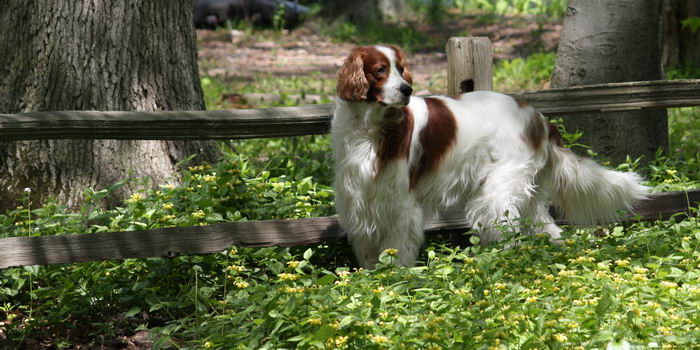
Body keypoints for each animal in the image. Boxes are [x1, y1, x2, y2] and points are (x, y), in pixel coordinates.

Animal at [330, 45, 648, 266]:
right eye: (380, 70)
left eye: (401, 68)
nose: (407, 89)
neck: (369, 126)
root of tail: (538, 117)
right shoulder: (359, 198)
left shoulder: (399, 202)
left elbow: (396, 249)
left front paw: (394, 276)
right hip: (525, 192)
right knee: (547, 227)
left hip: (497, 192)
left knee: (507, 230)